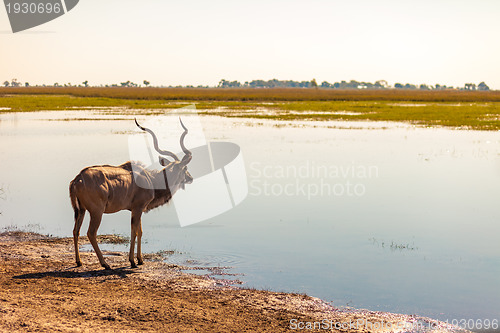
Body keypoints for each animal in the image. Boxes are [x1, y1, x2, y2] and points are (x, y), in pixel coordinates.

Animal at [70, 118, 193, 268]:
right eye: (185, 168)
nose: (190, 178)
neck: (151, 179)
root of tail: (78, 179)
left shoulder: (136, 209)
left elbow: (139, 231)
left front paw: (140, 259)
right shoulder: (138, 208)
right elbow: (134, 231)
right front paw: (133, 261)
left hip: (81, 211)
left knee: (76, 231)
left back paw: (79, 261)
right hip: (96, 212)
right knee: (91, 233)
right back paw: (105, 263)